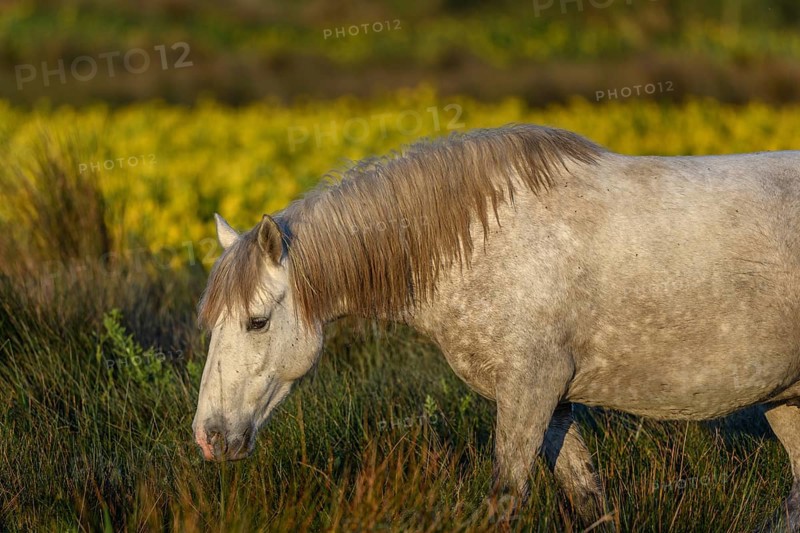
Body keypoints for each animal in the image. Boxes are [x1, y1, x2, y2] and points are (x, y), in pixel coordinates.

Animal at [192, 124, 800, 530]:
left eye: (257, 321)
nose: (209, 437)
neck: (482, 244)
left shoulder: (530, 391)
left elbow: (505, 498)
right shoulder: (553, 401)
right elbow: (589, 499)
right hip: (786, 400)